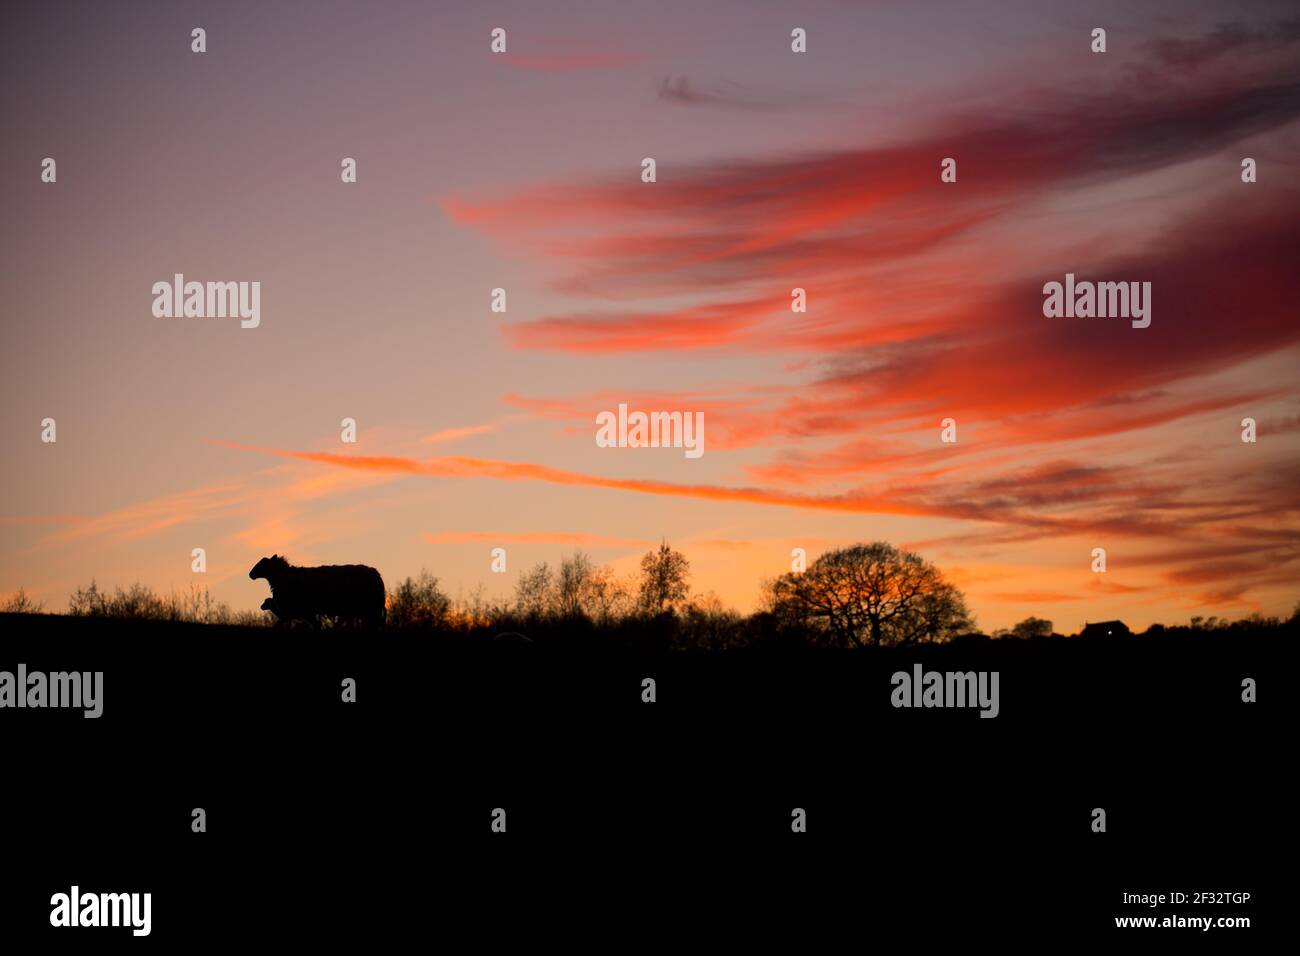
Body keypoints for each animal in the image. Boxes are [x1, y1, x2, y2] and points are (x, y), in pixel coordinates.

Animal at [245, 554, 382, 629]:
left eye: (264, 563)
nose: (250, 574)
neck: (285, 577)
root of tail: (376, 574)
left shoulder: (299, 611)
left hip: (366, 609)